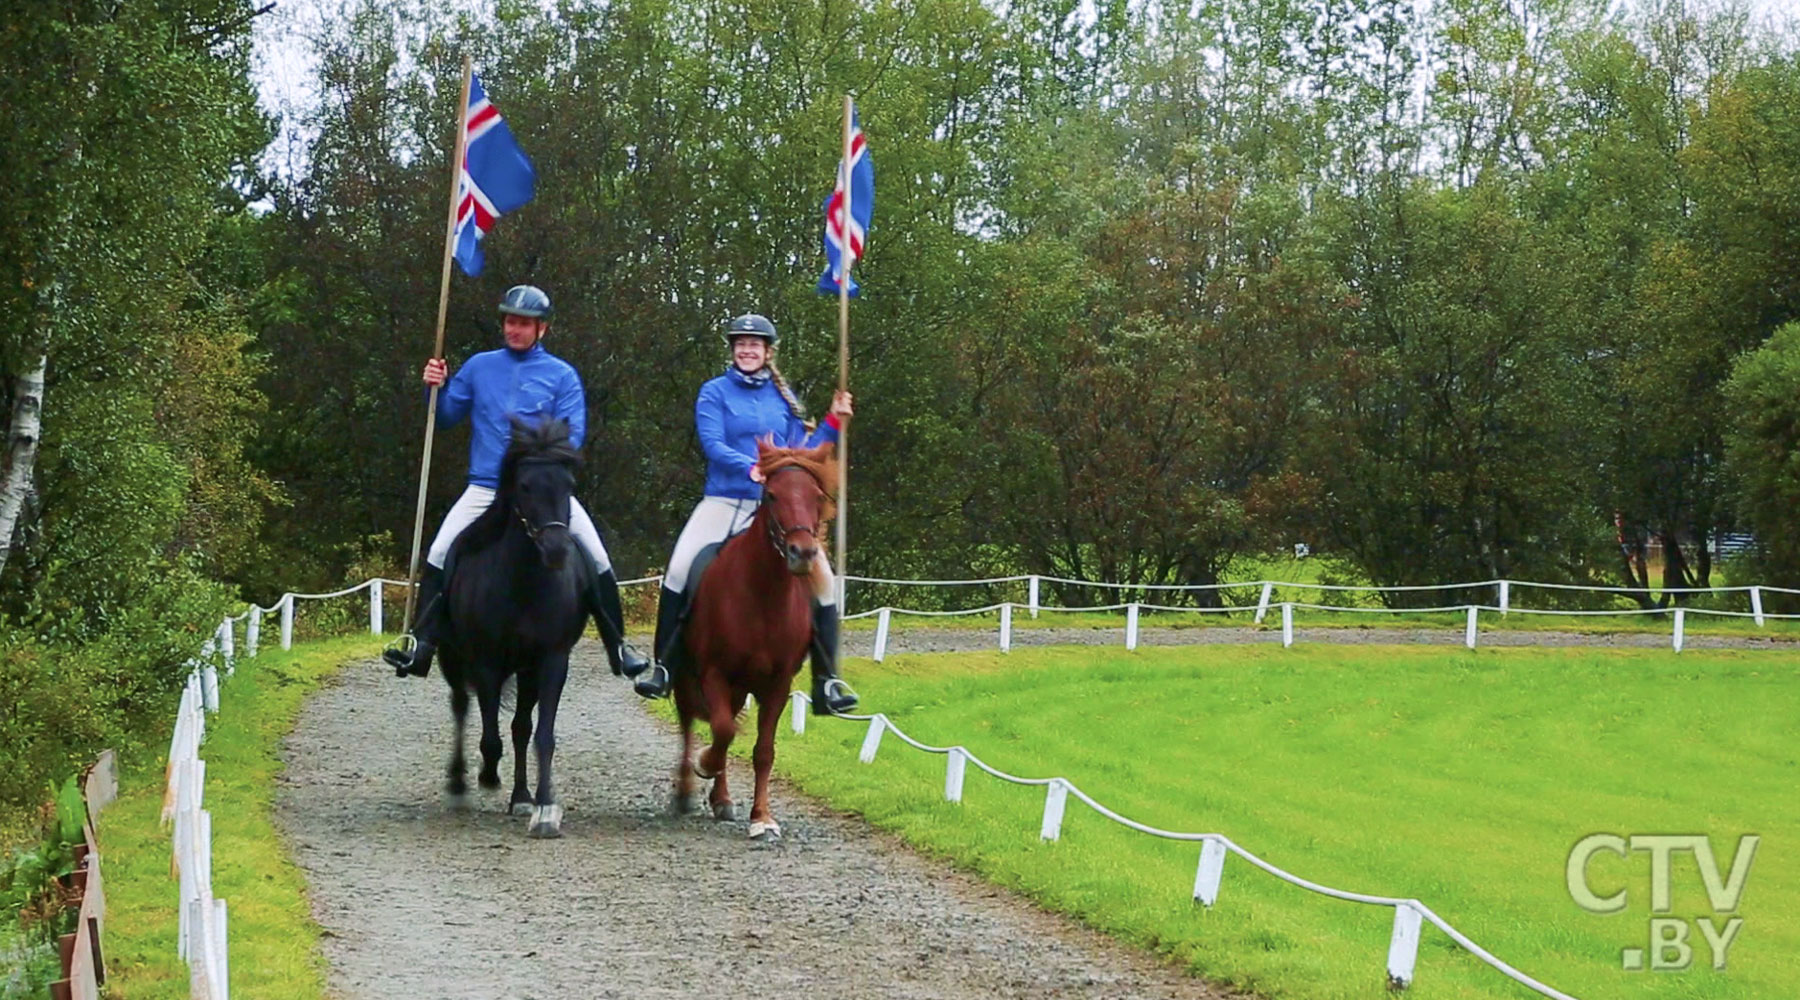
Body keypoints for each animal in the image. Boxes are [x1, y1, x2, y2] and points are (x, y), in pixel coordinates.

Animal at [433, 413, 583, 834]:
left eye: (569, 485)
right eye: (525, 486)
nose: (556, 550)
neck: (524, 584)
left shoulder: (550, 661)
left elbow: (540, 735)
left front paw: (543, 807)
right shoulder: (486, 662)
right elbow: (489, 737)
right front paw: (487, 776)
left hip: (526, 671)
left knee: (519, 727)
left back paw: (520, 795)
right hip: (452, 658)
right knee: (461, 706)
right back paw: (459, 782)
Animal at [676, 437, 835, 834]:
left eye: (815, 495)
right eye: (773, 495)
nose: (803, 553)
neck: (764, 595)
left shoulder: (778, 683)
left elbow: (762, 750)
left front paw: (762, 817)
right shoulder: (714, 673)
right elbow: (721, 731)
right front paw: (705, 763)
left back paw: (722, 800)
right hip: (687, 676)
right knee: (688, 721)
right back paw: (685, 791)